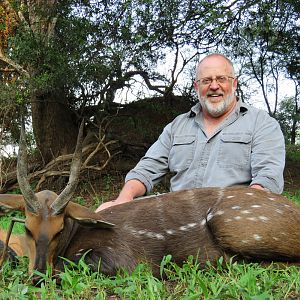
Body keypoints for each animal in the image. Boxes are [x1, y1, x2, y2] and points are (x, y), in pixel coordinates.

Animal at [0, 122, 298, 284]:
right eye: (27, 228)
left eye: (60, 229)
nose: (37, 276)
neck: (76, 237)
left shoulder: (122, 260)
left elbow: (75, 265)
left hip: (236, 225)